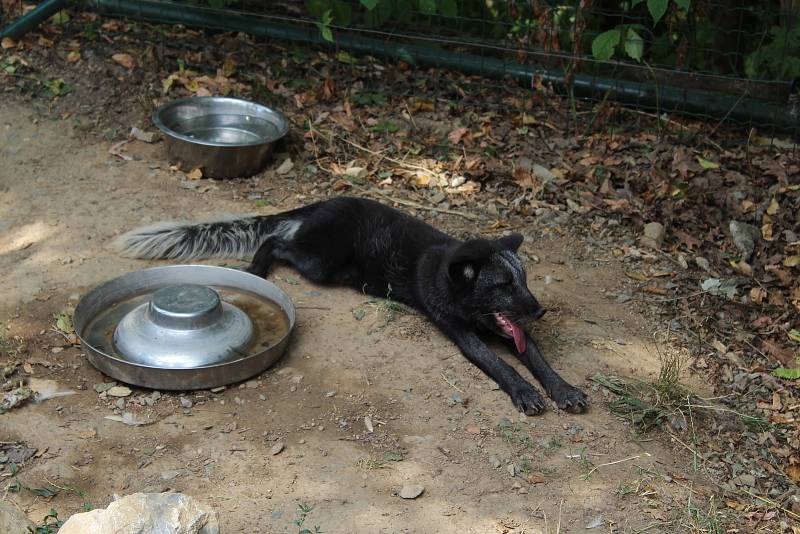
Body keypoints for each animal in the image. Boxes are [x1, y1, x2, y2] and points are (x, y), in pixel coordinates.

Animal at [112, 196, 588, 414]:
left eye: (523, 280)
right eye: (503, 285)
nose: (540, 311)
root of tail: (322, 203)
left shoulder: (511, 332)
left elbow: (538, 358)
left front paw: (562, 389)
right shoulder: (462, 335)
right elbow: (502, 365)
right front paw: (524, 393)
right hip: (321, 265)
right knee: (275, 241)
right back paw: (257, 268)